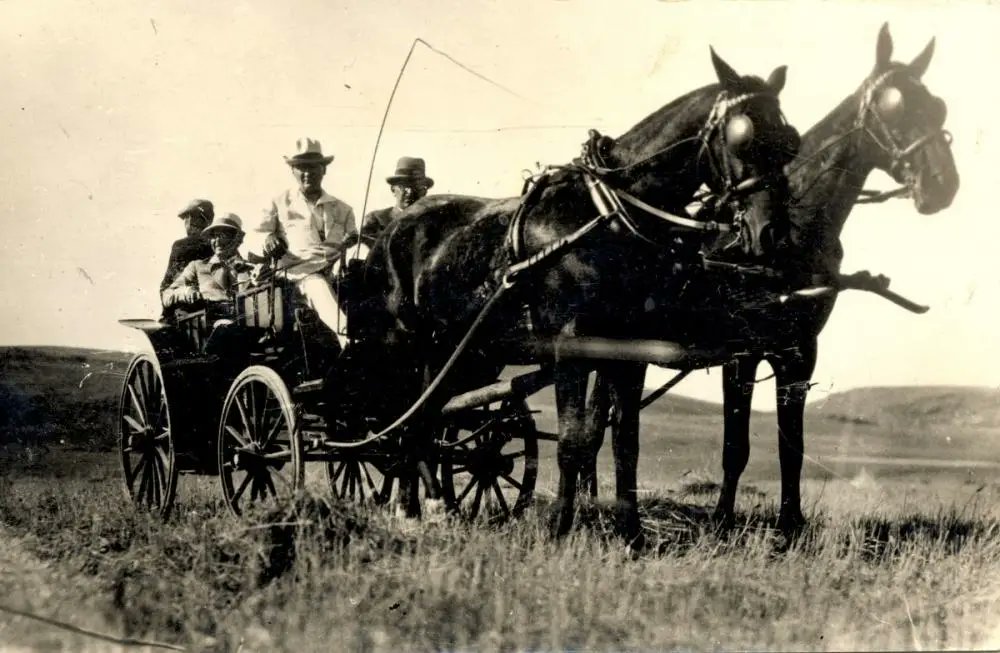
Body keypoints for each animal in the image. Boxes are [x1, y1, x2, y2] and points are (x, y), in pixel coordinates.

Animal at [356, 48, 800, 536]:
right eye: (743, 137)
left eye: (790, 140)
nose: (773, 234)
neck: (606, 214)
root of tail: (395, 227)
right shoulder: (570, 345)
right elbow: (571, 440)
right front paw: (558, 527)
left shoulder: (631, 351)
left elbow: (625, 441)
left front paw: (631, 533)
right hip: (401, 341)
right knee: (404, 419)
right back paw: (416, 505)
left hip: (452, 350)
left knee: (427, 416)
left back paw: (423, 504)